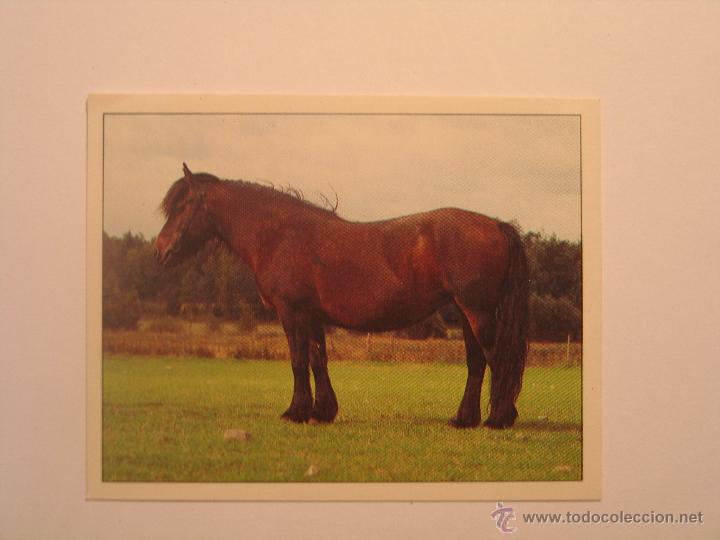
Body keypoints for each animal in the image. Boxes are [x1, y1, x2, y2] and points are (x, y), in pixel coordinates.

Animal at [154, 164, 529, 429]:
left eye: (183, 205)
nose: (160, 251)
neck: (280, 236)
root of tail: (496, 225)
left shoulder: (291, 312)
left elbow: (298, 361)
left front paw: (296, 411)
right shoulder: (312, 315)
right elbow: (318, 360)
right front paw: (322, 411)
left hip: (478, 311)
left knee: (497, 359)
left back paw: (499, 419)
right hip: (467, 313)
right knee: (477, 362)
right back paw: (464, 419)